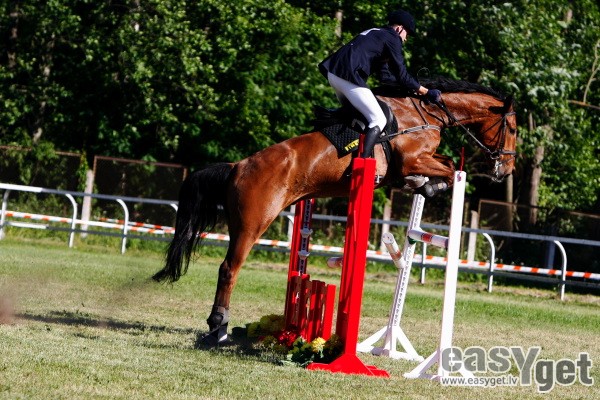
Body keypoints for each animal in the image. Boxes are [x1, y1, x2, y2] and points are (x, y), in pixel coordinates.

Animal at [152, 77, 518, 344]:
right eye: (512, 129)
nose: (506, 170)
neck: (423, 115)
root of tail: (237, 167)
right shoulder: (413, 159)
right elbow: (448, 169)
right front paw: (434, 186)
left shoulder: (413, 164)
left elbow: (439, 168)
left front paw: (424, 186)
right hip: (251, 224)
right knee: (229, 269)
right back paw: (219, 328)